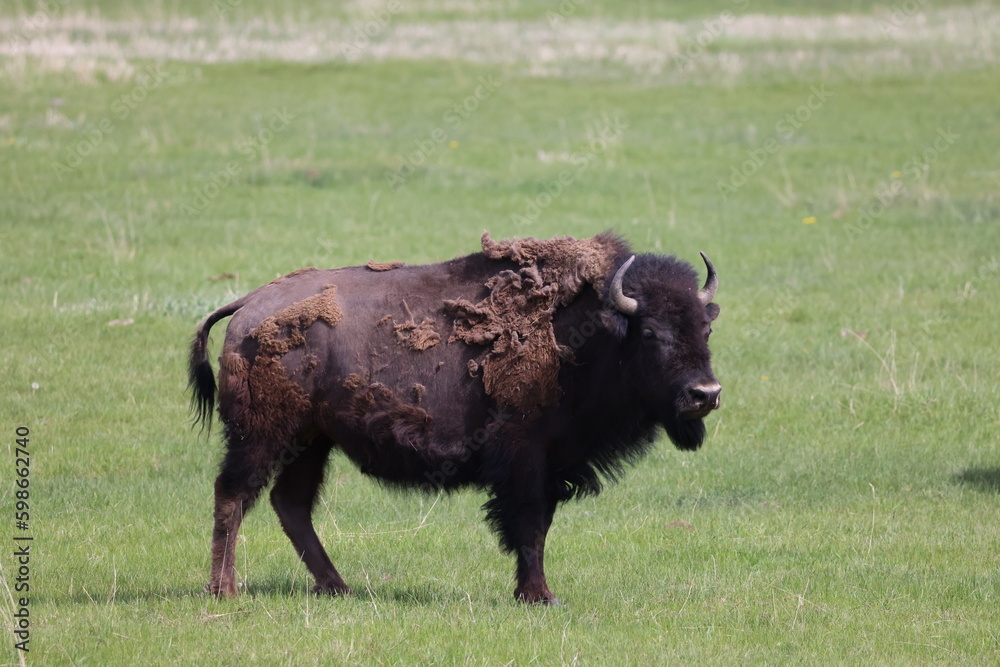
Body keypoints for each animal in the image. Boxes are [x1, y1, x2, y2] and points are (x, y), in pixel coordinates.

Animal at [189, 232, 720, 604]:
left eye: (706, 327)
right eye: (650, 332)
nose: (706, 394)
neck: (590, 335)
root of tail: (248, 305)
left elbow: (538, 523)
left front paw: (532, 592)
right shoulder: (524, 456)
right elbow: (530, 523)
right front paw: (540, 596)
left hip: (312, 440)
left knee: (290, 502)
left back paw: (338, 587)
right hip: (263, 435)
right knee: (233, 494)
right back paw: (225, 591)